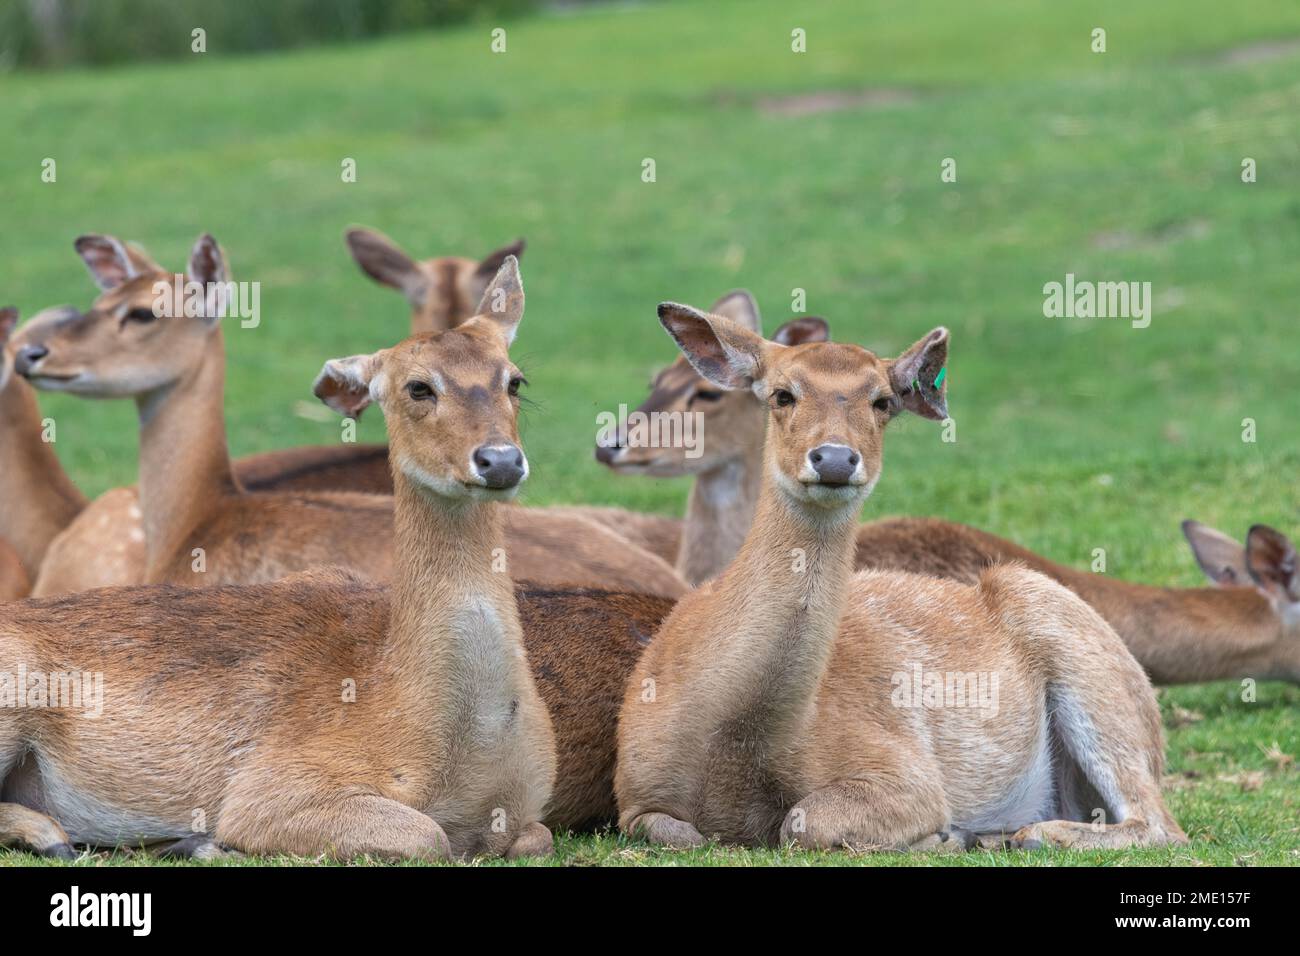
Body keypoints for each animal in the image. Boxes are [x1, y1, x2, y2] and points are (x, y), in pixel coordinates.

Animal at [0, 257, 650, 863]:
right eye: (418, 387)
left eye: (514, 380)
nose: (500, 460)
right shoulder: (274, 787)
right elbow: (427, 835)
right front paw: (204, 839)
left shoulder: (529, 810)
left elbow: (535, 837)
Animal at [613, 306, 1185, 853]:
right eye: (781, 394)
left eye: (883, 401)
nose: (835, 458)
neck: (734, 738)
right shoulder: (632, 791)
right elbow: (670, 830)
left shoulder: (904, 770)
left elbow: (803, 820)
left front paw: (946, 835)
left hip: (1089, 665)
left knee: (1161, 824)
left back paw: (1023, 833)